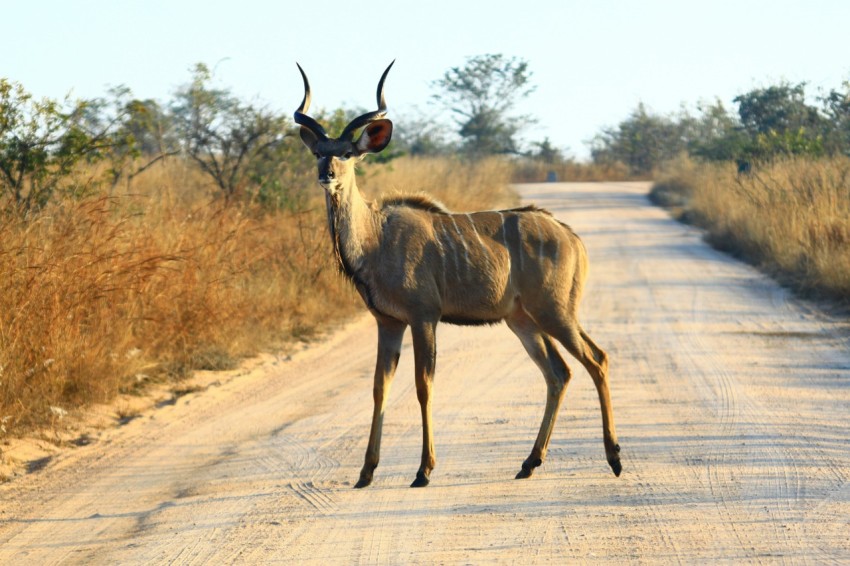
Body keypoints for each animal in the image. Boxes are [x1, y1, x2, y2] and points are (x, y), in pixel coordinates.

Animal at [294, 61, 621, 488]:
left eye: (348, 153)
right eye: (319, 152)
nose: (326, 174)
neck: (376, 237)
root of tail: (570, 236)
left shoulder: (423, 317)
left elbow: (423, 385)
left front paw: (424, 470)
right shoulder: (388, 323)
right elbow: (380, 388)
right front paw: (365, 473)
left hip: (554, 311)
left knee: (596, 359)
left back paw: (614, 458)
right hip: (523, 319)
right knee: (559, 373)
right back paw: (529, 463)